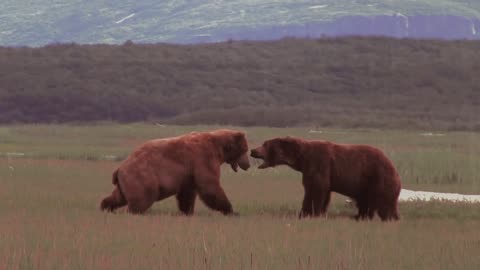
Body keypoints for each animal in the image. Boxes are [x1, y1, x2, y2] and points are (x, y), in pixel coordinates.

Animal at [101, 129, 251, 215]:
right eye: (245, 149)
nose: (248, 164)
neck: (219, 148)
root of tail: (119, 168)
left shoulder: (189, 173)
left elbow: (187, 193)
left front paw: (187, 211)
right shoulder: (202, 157)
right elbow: (209, 185)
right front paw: (230, 210)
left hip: (126, 181)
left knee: (118, 197)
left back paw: (106, 207)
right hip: (141, 176)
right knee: (141, 199)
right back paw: (133, 212)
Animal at [251, 137, 402, 221]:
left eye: (265, 144)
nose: (253, 150)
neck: (302, 158)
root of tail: (394, 166)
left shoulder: (318, 163)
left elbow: (315, 190)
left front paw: (308, 213)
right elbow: (320, 192)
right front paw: (311, 213)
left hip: (378, 177)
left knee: (384, 202)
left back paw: (390, 218)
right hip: (366, 185)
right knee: (365, 202)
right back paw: (359, 217)